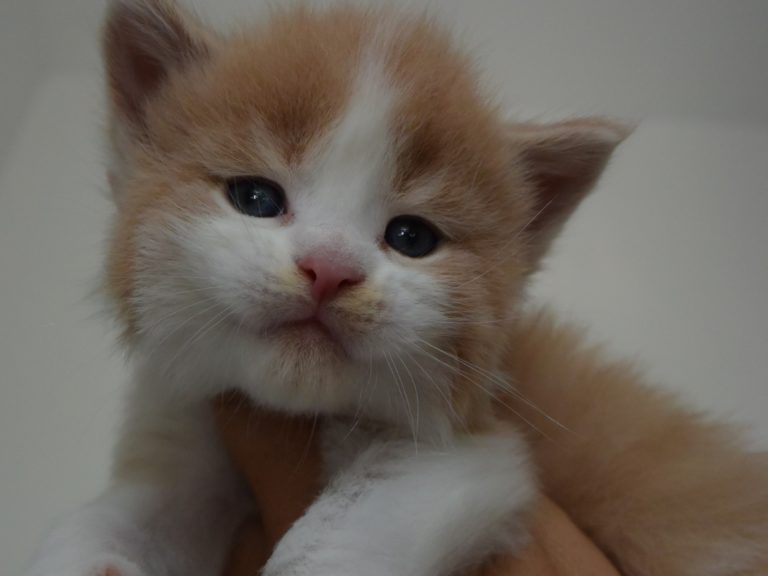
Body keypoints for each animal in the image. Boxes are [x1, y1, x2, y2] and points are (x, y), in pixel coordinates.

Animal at [27, 1, 768, 575]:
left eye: (412, 237)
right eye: (256, 198)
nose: (329, 267)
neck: (300, 411)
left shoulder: (477, 448)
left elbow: (345, 533)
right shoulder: (186, 427)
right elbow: (123, 516)